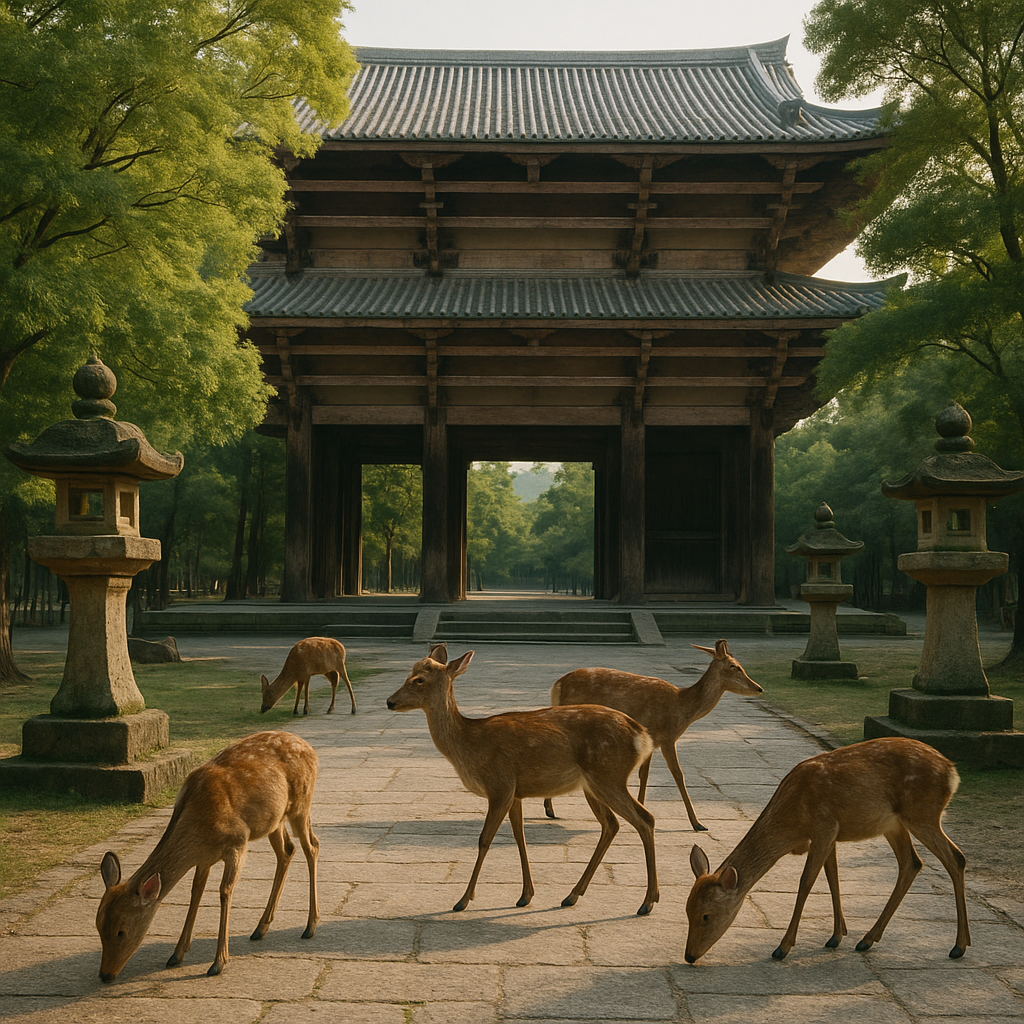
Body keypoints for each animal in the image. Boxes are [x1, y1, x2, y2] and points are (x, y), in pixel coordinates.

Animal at [96, 730, 320, 982]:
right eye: (98, 926)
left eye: (121, 931)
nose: (105, 974)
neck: (199, 827)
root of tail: (310, 748)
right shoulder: (204, 858)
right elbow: (196, 893)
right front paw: (176, 955)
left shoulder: (237, 842)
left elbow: (224, 891)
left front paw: (218, 963)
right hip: (274, 820)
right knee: (287, 850)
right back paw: (260, 928)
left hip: (301, 804)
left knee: (312, 846)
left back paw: (310, 927)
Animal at [386, 643, 660, 916]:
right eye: (409, 672)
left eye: (419, 679)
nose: (390, 701)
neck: (468, 744)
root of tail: (643, 736)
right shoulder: (515, 792)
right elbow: (520, 837)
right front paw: (525, 895)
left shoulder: (499, 784)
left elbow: (484, 839)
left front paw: (463, 900)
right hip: (593, 785)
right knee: (611, 824)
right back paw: (572, 895)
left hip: (608, 776)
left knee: (645, 819)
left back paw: (647, 901)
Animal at [543, 639, 762, 828]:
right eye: (734, 666)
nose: (759, 688)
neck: (682, 709)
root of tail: (556, 686)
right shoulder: (667, 738)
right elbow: (678, 774)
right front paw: (697, 823)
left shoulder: (653, 742)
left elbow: (644, 774)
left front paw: (642, 805)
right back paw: (549, 808)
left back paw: (550, 808)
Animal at [684, 737, 970, 964]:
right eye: (687, 911)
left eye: (706, 916)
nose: (689, 955)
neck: (793, 827)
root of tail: (953, 772)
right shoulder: (830, 835)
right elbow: (833, 877)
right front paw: (836, 936)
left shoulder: (823, 827)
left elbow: (806, 882)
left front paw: (782, 948)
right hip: (894, 824)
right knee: (912, 862)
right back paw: (867, 939)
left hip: (922, 814)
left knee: (956, 858)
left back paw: (958, 947)